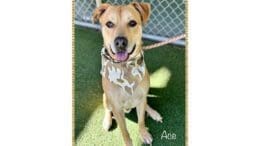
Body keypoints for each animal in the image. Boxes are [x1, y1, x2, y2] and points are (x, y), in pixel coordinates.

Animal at [93, 2, 162, 146]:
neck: (125, 70)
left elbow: (141, 121)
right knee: (107, 109)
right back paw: (107, 121)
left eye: (132, 23)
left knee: (146, 103)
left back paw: (153, 113)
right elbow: (124, 130)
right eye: (109, 24)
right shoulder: (117, 108)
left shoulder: (140, 99)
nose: (120, 42)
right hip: (106, 97)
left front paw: (143, 133)